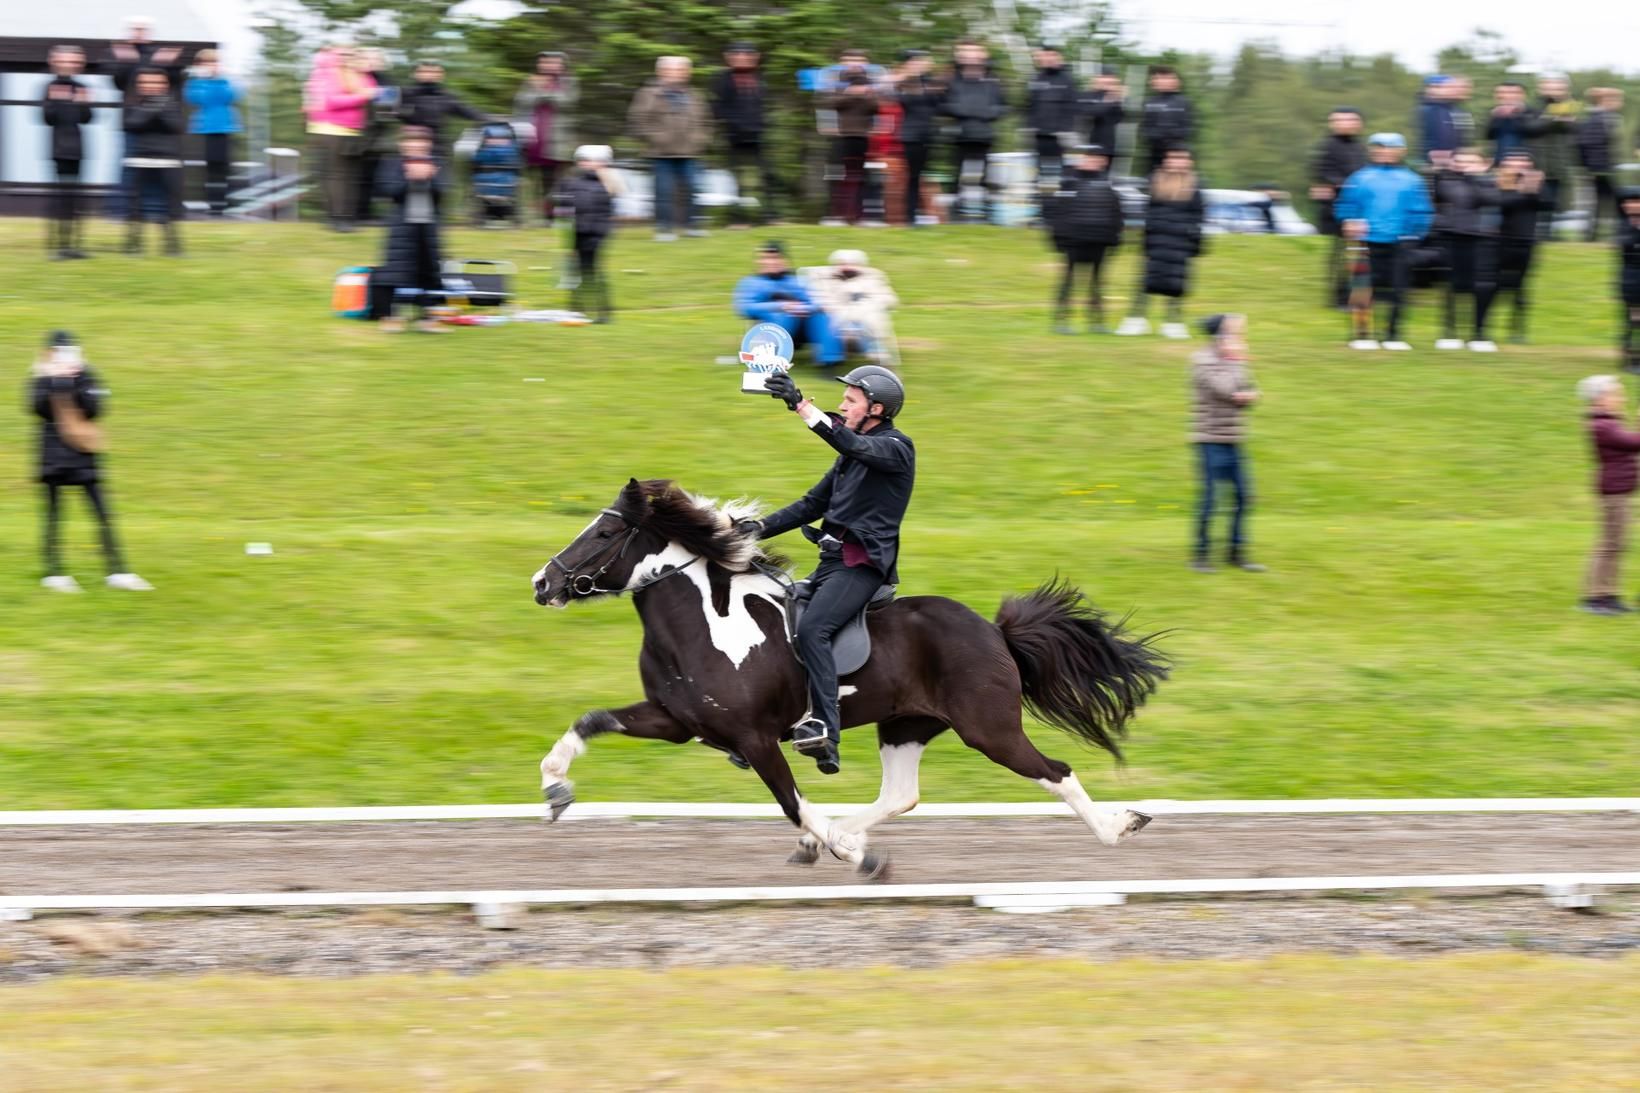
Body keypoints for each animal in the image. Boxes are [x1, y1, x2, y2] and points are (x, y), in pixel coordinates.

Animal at [531, 475, 1174, 879]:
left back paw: (1120, 826)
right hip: (907, 724)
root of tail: (993, 632)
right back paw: (830, 840)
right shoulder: (675, 721)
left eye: (605, 534)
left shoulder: (755, 739)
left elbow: (791, 801)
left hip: (990, 730)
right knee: (901, 794)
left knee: (1055, 771)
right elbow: (591, 721)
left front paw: (858, 856)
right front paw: (556, 788)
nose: (543, 583)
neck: (704, 624)